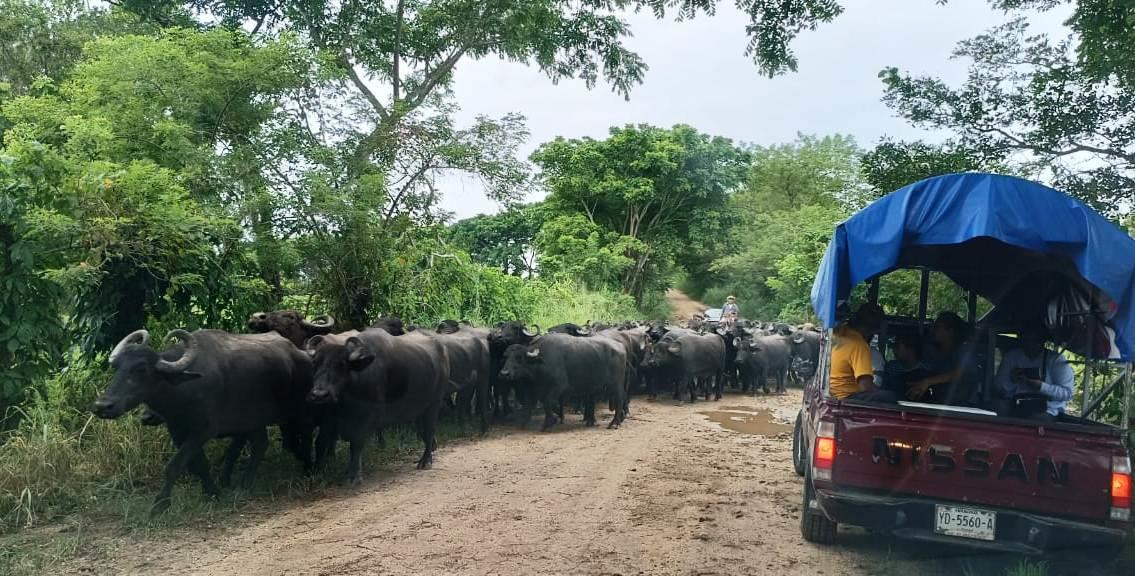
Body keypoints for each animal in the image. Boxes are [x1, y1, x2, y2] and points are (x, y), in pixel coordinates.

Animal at [91, 329, 310, 513]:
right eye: (116, 367)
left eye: (141, 369)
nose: (103, 406)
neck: (184, 390)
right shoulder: (178, 431)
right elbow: (199, 464)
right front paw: (211, 491)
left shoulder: (203, 430)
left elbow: (174, 465)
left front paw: (160, 505)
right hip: (253, 421)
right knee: (260, 444)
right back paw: (245, 482)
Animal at [310, 327, 451, 483]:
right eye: (315, 364)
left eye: (342, 365)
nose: (319, 394)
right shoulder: (329, 418)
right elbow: (321, 442)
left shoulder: (366, 417)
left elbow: (356, 444)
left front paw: (354, 476)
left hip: (434, 403)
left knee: (429, 430)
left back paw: (425, 461)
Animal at [499, 331, 631, 431]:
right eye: (506, 357)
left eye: (519, 358)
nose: (504, 373)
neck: (541, 363)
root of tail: (620, 346)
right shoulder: (536, 389)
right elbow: (538, 404)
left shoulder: (559, 386)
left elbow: (548, 402)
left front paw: (549, 422)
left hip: (615, 384)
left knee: (619, 399)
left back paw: (614, 423)